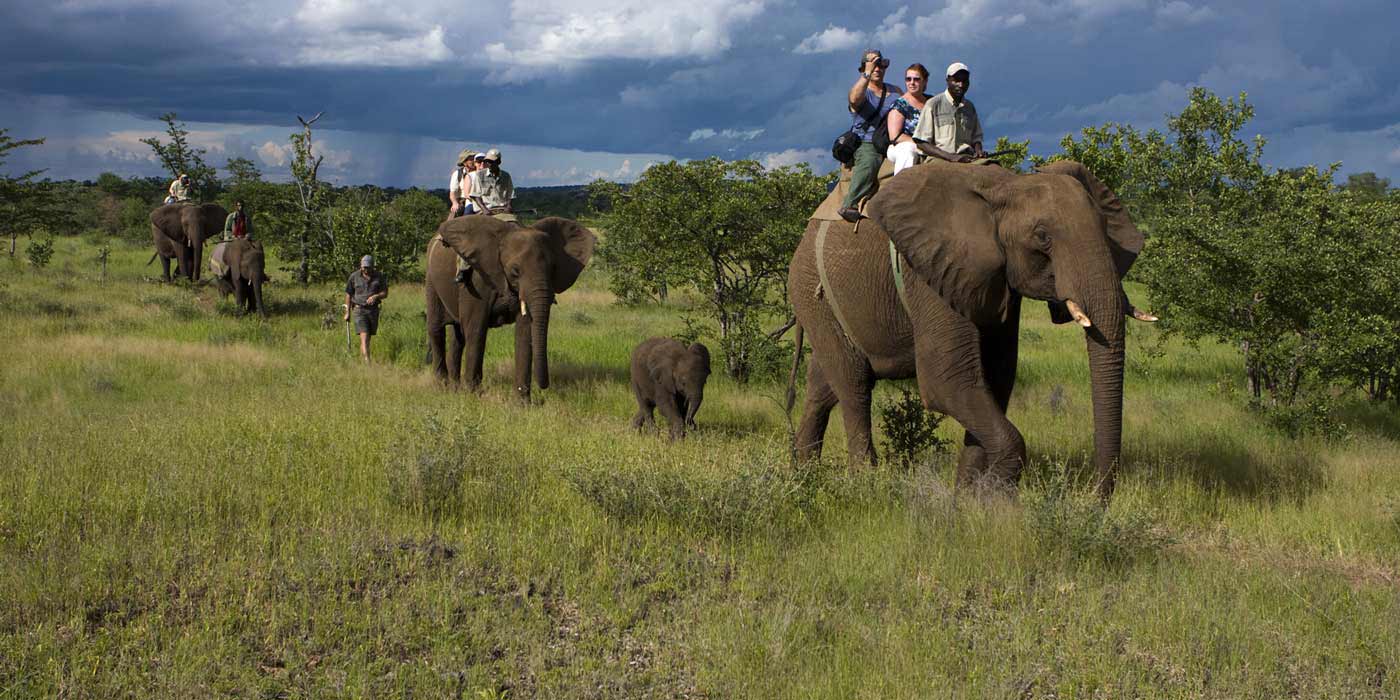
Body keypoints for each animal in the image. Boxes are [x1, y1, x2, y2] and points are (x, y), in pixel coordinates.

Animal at [426, 215, 597, 401]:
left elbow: (525, 332)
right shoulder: (477, 281)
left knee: (457, 336)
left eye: (553, 269)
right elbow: (476, 329)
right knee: (437, 329)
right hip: (431, 279)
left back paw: (455, 389)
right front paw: (474, 397)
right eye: (515, 271)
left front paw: (522, 403)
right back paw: (442, 387)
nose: (544, 389)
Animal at [786, 159, 1148, 500]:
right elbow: (947, 380)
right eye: (1042, 237)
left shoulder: (995, 281)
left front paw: (968, 501)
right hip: (811, 291)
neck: (1007, 185)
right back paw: (865, 484)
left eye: (1106, 230)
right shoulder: (931, 269)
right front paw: (994, 503)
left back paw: (805, 477)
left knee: (823, 387)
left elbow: (996, 378)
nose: (1095, 501)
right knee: (854, 386)